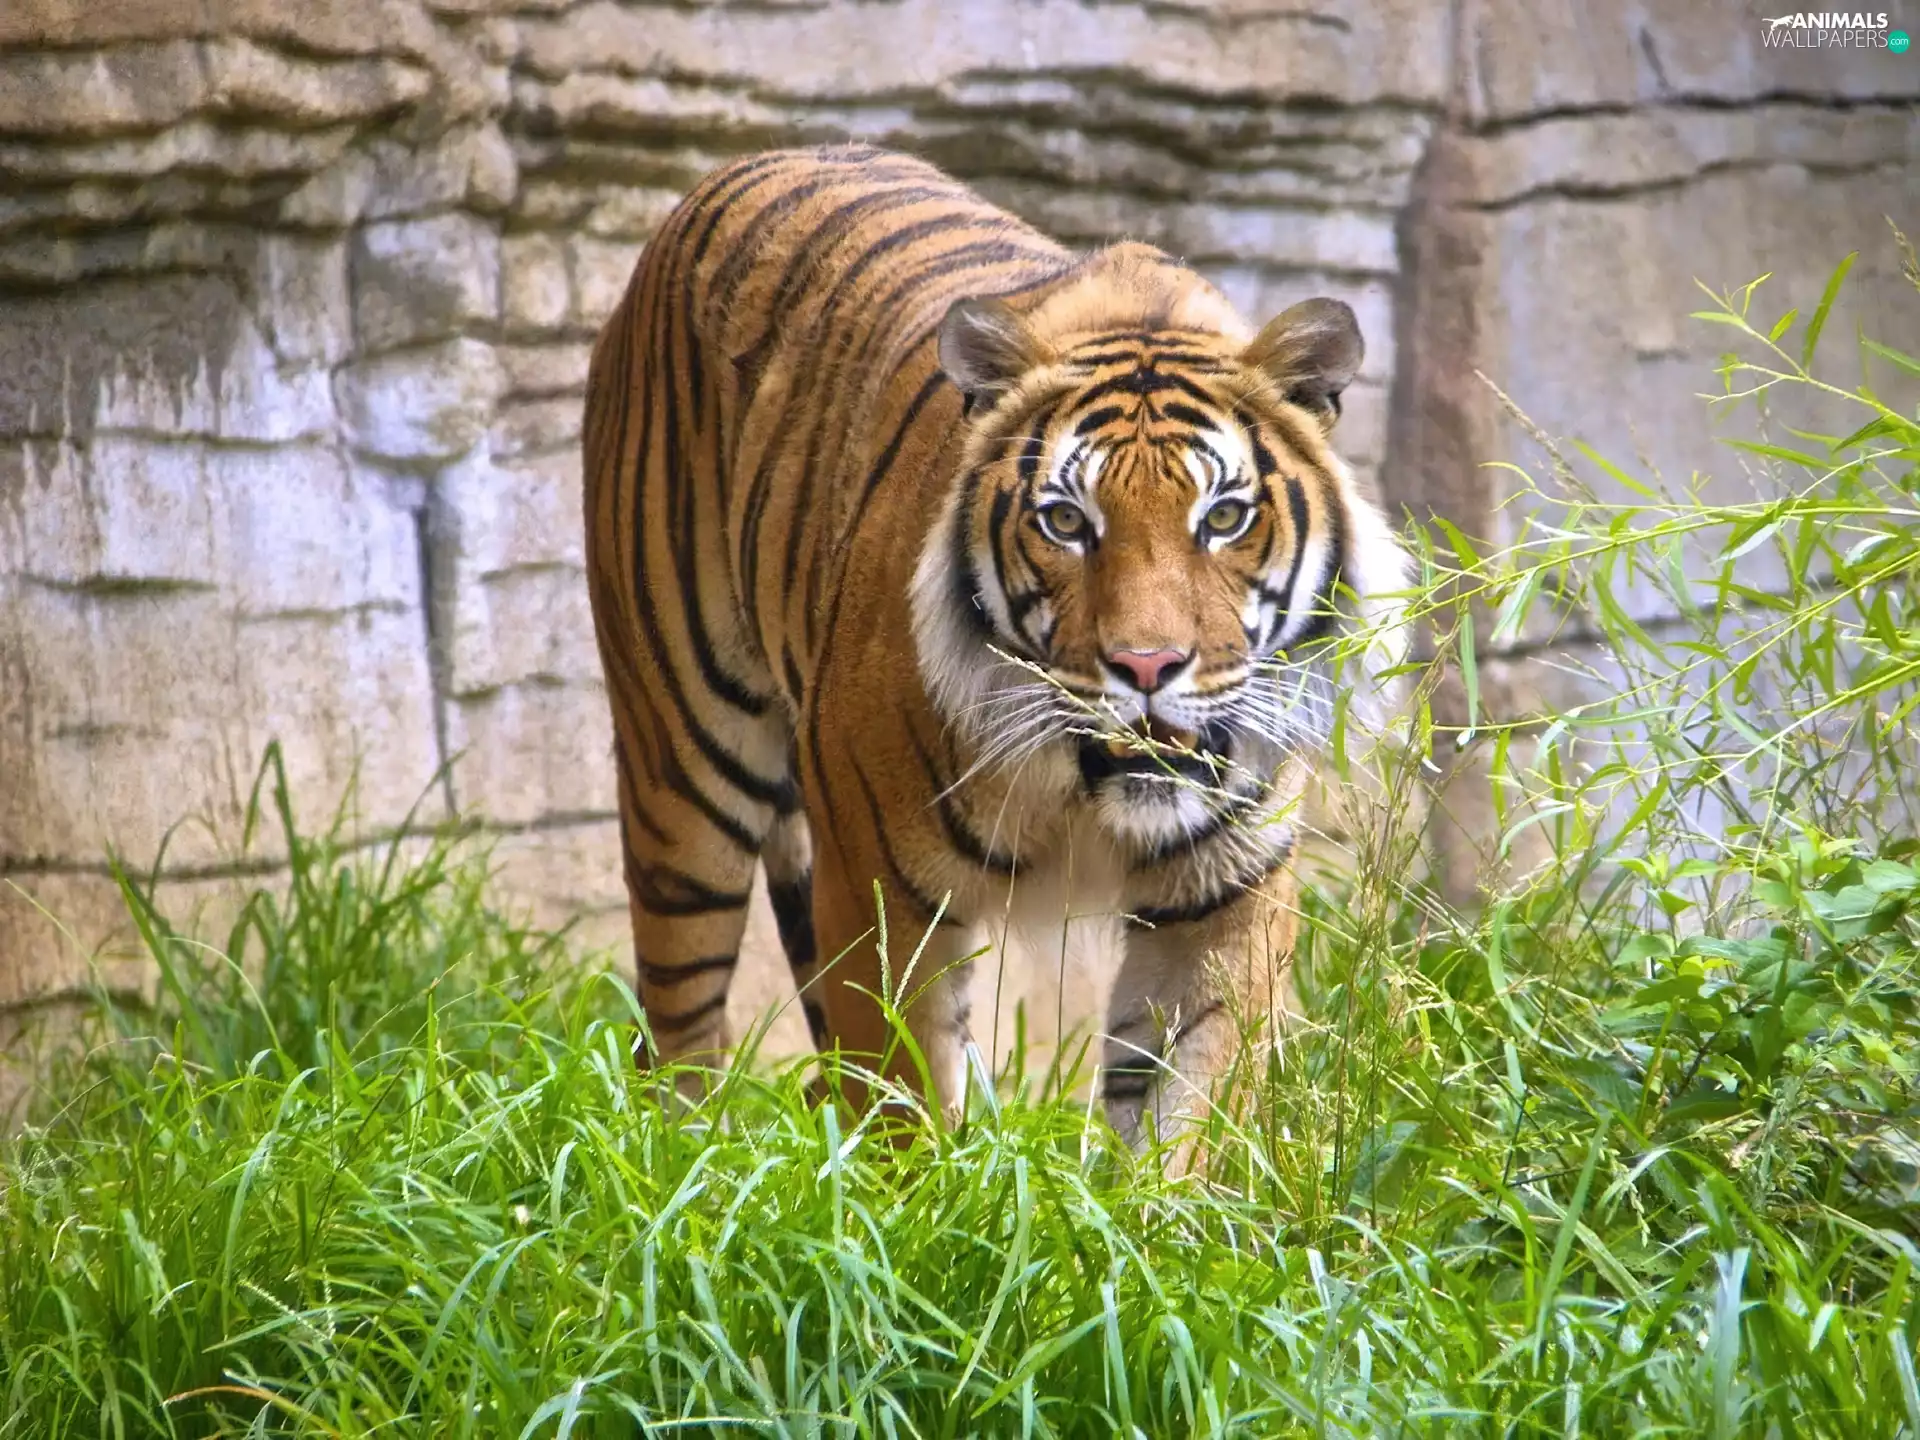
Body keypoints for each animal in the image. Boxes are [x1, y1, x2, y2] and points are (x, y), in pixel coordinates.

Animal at [582, 143, 1409, 1161]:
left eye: (1222, 518)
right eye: (1067, 521)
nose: (1146, 668)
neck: (1085, 791)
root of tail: (743, 163)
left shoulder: (1221, 906)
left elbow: (1182, 1115)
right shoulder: (881, 899)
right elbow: (904, 1099)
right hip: (685, 765)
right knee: (677, 1026)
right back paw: (683, 1160)